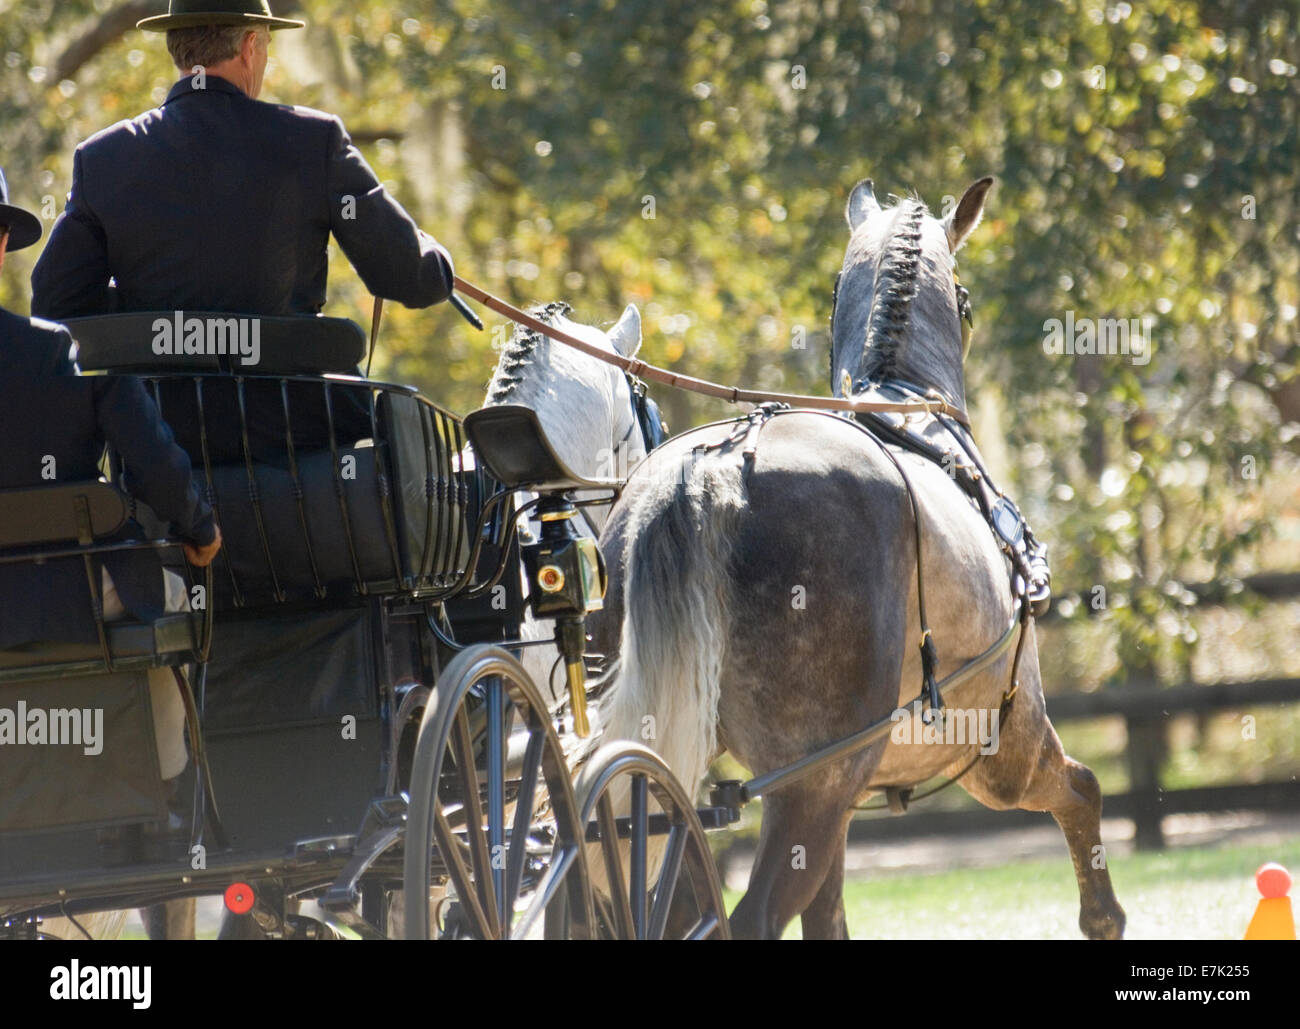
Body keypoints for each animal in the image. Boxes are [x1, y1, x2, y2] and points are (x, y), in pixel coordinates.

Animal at [587, 177, 1127, 940]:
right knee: (752, 916)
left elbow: (829, 917)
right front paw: (1103, 916)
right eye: (964, 299)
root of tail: (717, 464)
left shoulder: (846, 802)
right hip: (814, 781)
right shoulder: (1002, 749)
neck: (905, 407)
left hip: (676, 777)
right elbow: (1082, 789)